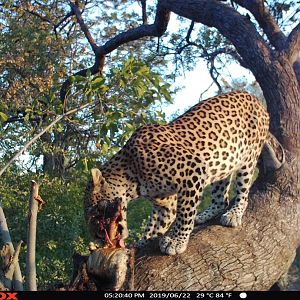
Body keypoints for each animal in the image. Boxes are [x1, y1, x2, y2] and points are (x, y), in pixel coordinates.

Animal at [84, 91, 284, 255]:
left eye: (95, 212)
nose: (97, 237)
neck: (131, 176)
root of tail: (256, 100)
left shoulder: (193, 171)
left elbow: (185, 213)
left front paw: (176, 241)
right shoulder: (165, 203)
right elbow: (155, 225)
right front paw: (142, 243)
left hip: (248, 158)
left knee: (243, 191)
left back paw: (234, 214)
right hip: (223, 164)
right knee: (221, 198)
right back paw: (205, 215)